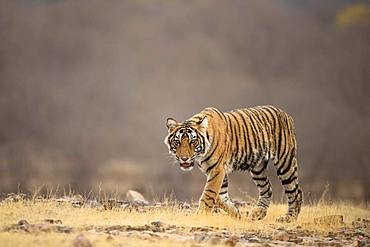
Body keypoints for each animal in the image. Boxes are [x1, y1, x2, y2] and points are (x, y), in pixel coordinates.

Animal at [165, 105, 304, 222]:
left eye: (193, 142)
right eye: (177, 142)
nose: (184, 158)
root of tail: (285, 114)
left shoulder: (217, 170)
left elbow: (209, 193)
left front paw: (200, 215)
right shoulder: (218, 172)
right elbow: (220, 197)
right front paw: (236, 213)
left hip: (285, 163)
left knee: (295, 191)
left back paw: (289, 218)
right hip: (258, 169)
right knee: (267, 188)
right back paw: (259, 213)